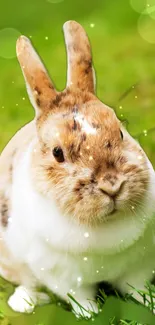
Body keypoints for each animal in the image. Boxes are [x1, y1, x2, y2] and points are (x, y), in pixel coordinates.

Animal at [0, 19, 155, 316]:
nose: (112, 185)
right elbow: (80, 298)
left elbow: (136, 287)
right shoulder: (64, 277)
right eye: (58, 153)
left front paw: (150, 301)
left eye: (120, 133)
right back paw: (25, 302)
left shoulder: (138, 264)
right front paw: (91, 315)